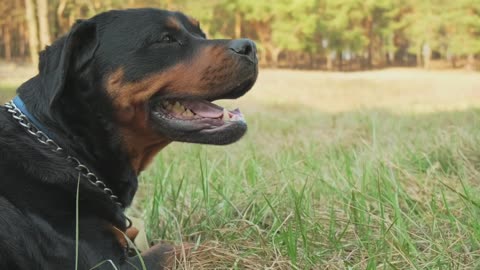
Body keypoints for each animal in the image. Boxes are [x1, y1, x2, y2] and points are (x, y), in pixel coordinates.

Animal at [0, 7, 258, 268]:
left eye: (201, 33)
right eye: (166, 39)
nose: (251, 47)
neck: (64, 143)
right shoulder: (105, 263)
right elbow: (175, 247)